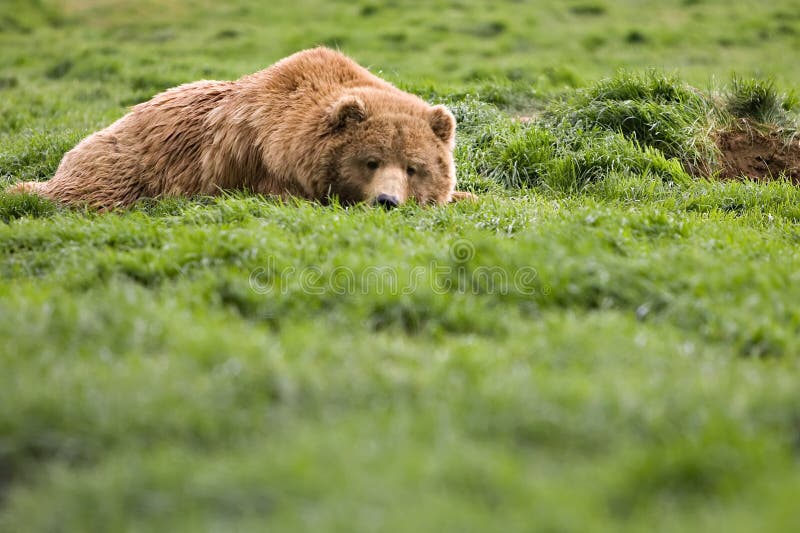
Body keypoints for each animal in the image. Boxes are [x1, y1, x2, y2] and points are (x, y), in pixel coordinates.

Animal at [7, 46, 476, 208]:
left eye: (414, 167)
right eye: (371, 161)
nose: (387, 201)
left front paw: (463, 196)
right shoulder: (264, 166)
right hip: (120, 166)